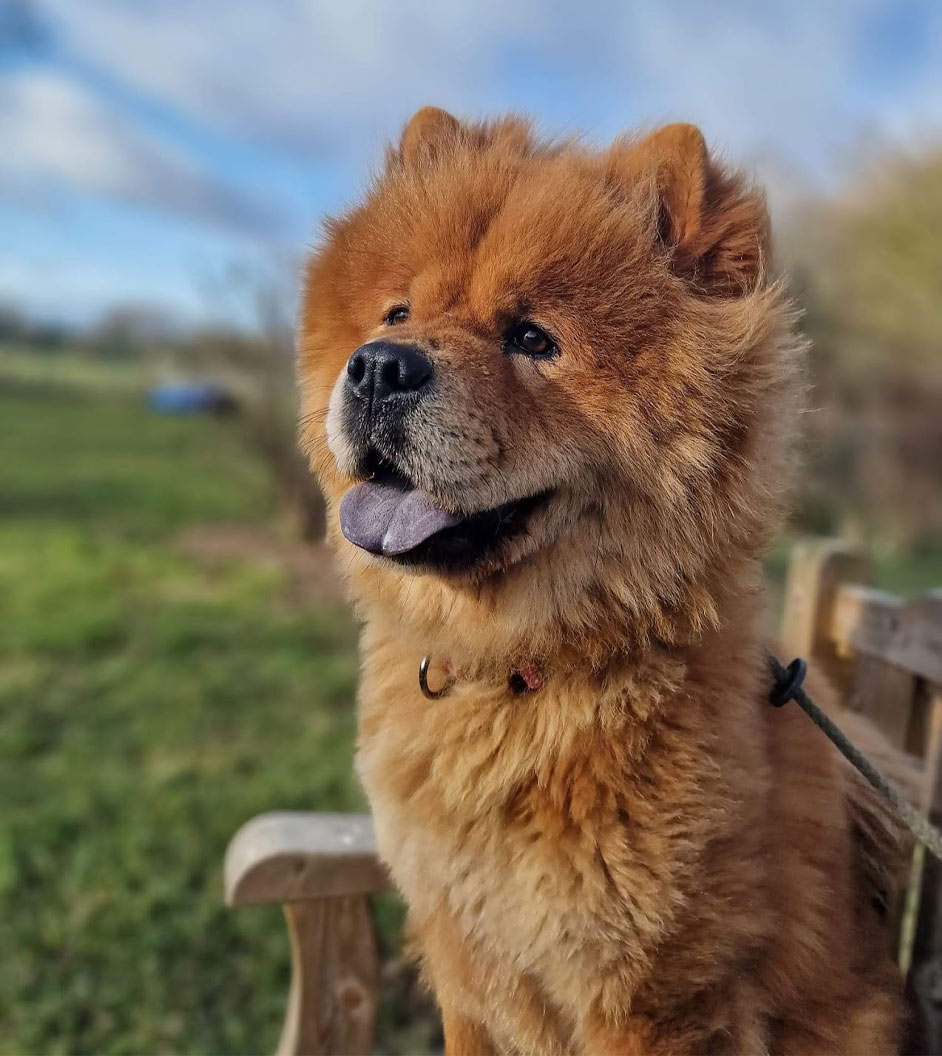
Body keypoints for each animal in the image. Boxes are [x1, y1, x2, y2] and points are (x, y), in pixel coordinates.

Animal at [297, 109, 908, 1056]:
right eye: (398, 312)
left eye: (532, 339)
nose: (379, 365)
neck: (516, 675)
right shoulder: (462, 961)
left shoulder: (652, 999)